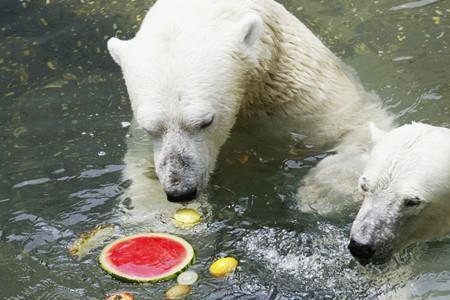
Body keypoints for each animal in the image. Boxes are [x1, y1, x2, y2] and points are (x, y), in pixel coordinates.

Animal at [107, 0, 392, 220]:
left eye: (206, 121)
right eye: (151, 127)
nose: (180, 191)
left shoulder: (303, 97)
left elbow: (363, 127)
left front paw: (319, 192)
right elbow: (144, 167)